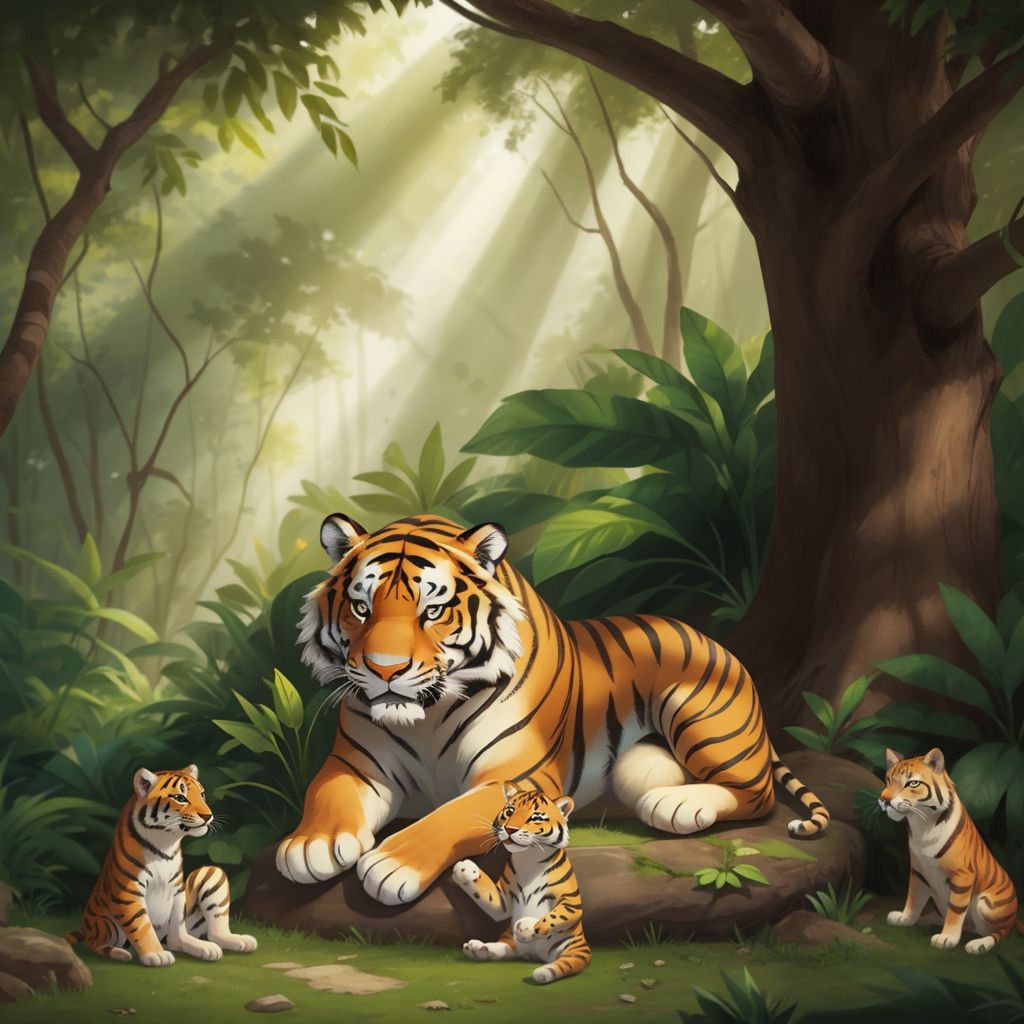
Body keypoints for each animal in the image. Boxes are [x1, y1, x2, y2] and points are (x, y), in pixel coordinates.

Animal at [65, 766, 257, 966]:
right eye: (180, 798)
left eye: (202, 794)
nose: (207, 816)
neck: (164, 844)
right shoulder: (129, 892)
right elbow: (141, 926)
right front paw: (155, 954)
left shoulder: (178, 889)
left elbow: (178, 929)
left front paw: (193, 945)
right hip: (106, 924)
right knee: (96, 943)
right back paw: (121, 953)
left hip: (212, 872)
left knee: (211, 933)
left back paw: (239, 941)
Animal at [277, 513, 829, 905]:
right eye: (361, 608)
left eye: (432, 610)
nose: (384, 670)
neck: (425, 719)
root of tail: (716, 643)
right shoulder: (356, 762)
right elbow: (326, 792)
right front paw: (310, 845)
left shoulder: (517, 776)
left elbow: (452, 815)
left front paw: (392, 862)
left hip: (699, 715)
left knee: (758, 793)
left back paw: (681, 806)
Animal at [452, 783, 590, 984]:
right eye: (510, 811)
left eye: (535, 818)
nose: (510, 829)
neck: (529, 856)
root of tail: (534, 954)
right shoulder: (503, 901)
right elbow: (488, 894)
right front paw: (464, 868)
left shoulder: (571, 903)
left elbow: (554, 916)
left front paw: (527, 928)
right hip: (510, 940)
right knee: (504, 948)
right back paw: (477, 948)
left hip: (572, 948)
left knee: (567, 963)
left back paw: (544, 971)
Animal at [880, 747, 1023, 954]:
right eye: (889, 780)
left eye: (912, 783)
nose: (884, 800)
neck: (922, 825)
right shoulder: (918, 871)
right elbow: (914, 898)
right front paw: (905, 918)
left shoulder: (962, 875)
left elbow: (955, 910)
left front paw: (947, 939)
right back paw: (925, 920)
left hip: (987, 905)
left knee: (1002, 932)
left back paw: (979, 944)